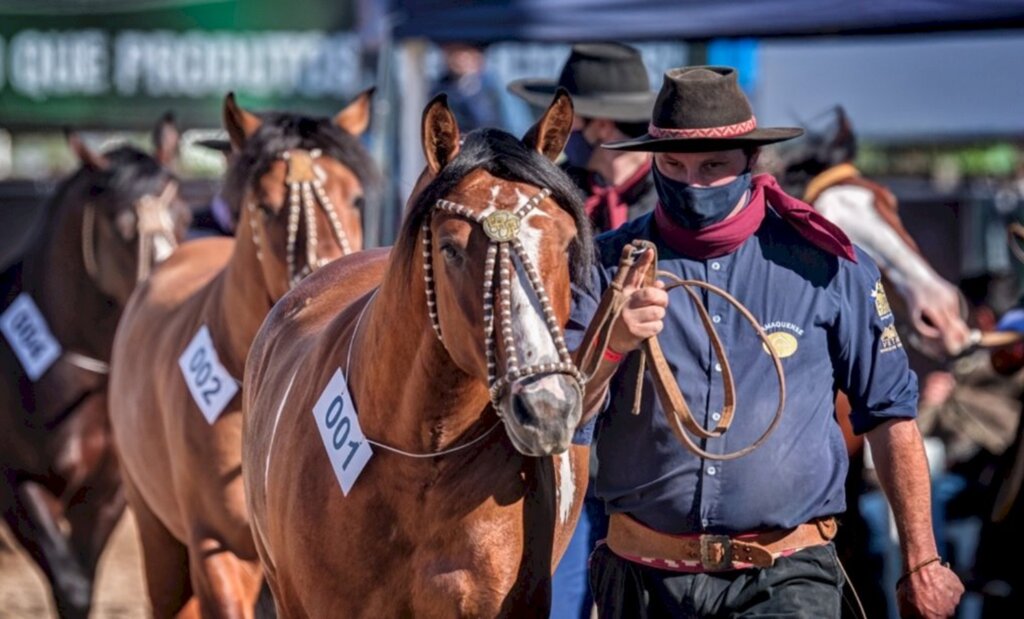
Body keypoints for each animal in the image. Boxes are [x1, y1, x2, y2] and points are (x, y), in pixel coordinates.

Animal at [0, 117, 188, 619]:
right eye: (123, 226)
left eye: (184, 216)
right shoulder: (19, 486)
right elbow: (70, 586)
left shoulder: (106, 493)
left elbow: (82, 583)